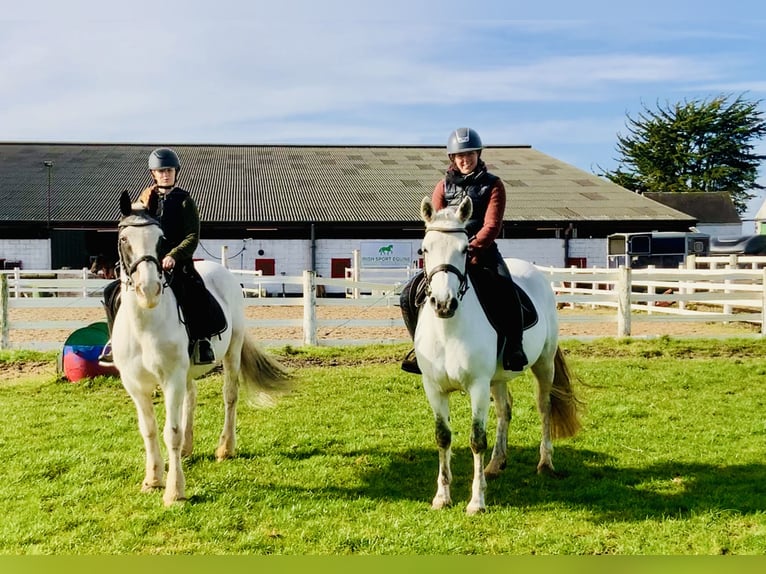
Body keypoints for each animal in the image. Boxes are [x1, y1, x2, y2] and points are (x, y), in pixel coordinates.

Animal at [112, 191, 292, 506]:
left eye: (161, 239)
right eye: (124, 239)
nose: (149, 290)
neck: (144, 325)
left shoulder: (171, 378)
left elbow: (169, 432)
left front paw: (174, 491)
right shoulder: (135, 384)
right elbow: (148, 430)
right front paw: (153, 479)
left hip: (231, 353)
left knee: (229, 396)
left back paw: (225, 448)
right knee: (191, 398)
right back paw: (187, 448)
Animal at [414, 196, 584, 516]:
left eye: (465, 249)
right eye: (425, 248)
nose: (443, 303)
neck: (448, 330)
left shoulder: (478, 386)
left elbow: (476, 439)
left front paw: (476, 502)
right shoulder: (434, 388)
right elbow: (443, 437)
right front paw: (442, 497)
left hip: (543, 365)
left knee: (544, 407)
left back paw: (545, 463)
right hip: (498, 379)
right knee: (505, 410)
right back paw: (495, 464)